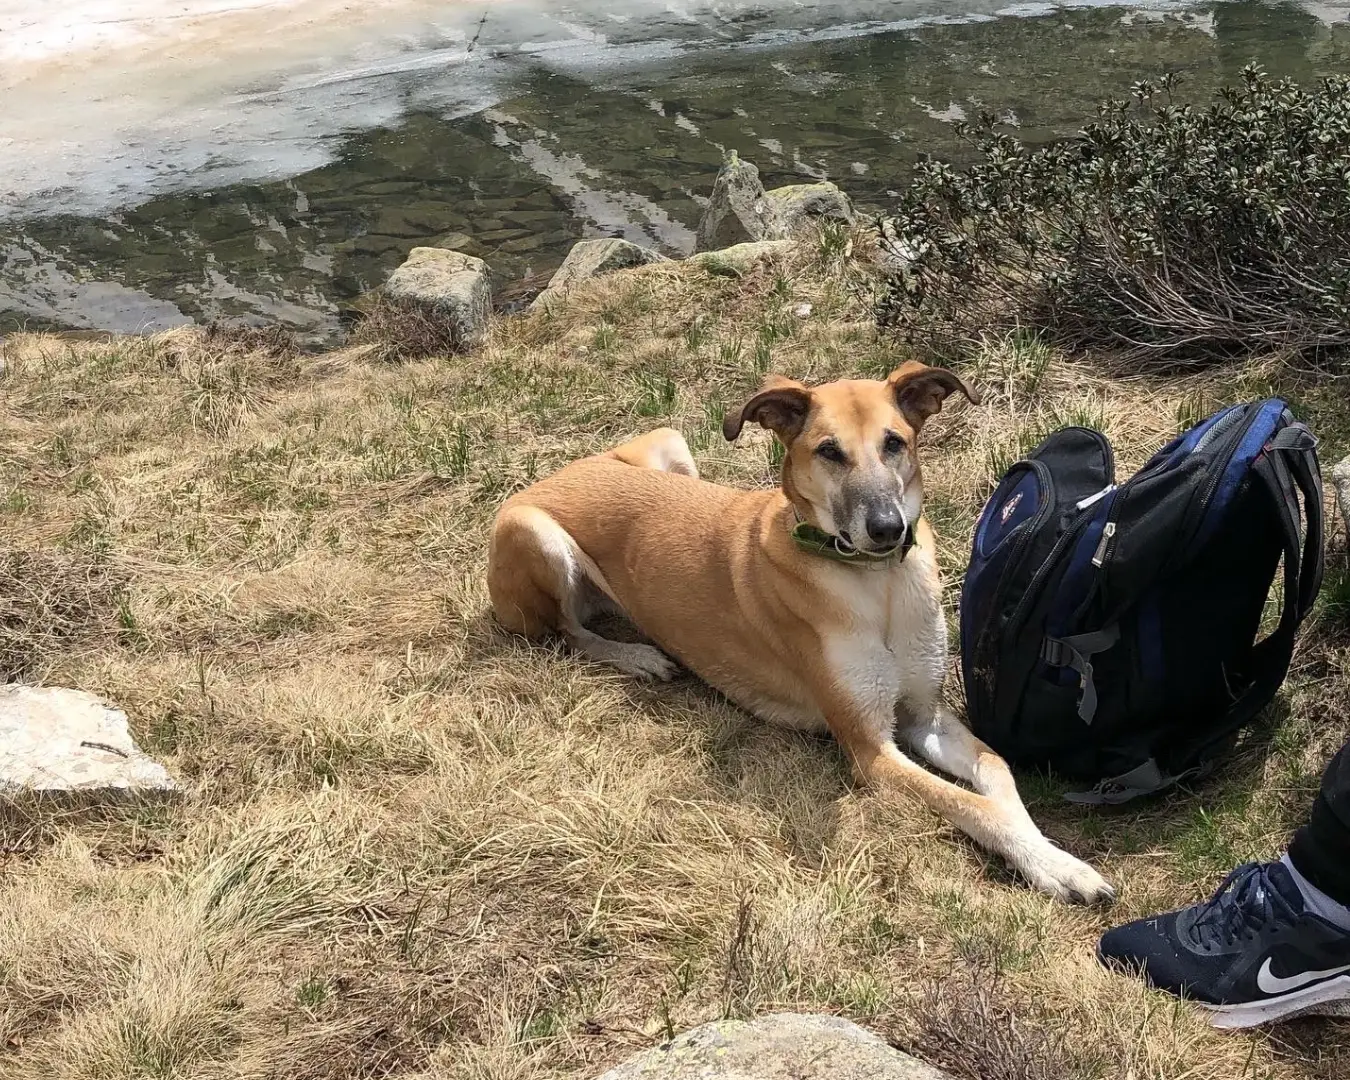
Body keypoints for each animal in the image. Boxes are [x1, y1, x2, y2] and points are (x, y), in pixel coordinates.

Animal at [491, 361, 1112, 901]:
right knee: (568, 632)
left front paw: (1051, 855)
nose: (887, 529)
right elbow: (970, 805)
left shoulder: (923, 714)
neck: (878, 584)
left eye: (895, 443)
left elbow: (996, 774)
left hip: (669, 444)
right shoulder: (870, 750)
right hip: (531, 532)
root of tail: (558, 471)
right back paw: (636, 656)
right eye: (829, 451)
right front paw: (1051, 864)